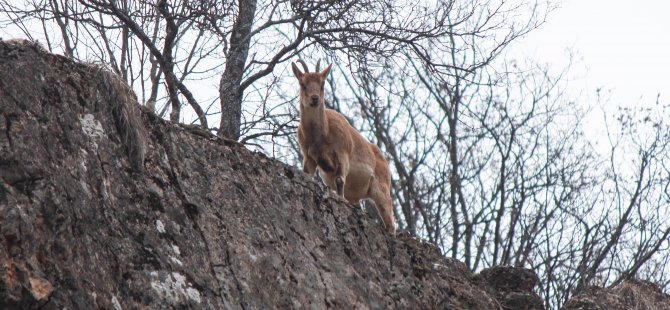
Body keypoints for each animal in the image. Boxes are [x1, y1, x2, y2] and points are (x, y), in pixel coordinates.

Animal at [292, 60, 396, 234]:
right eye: (302, 83)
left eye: (322, 83)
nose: (315, 99)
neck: (320, 136)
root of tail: (383, 159)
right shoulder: (309, 157)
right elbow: (308, 174)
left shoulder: (342, 154)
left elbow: (340, 180)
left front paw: (339, 200)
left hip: (381, 189)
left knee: (389, 217)